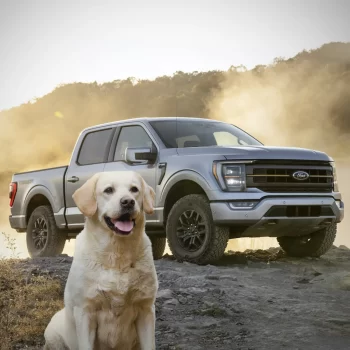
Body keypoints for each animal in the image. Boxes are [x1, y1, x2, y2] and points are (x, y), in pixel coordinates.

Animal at [43, 172, 158, 350]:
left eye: (134, 189)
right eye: (108, 190)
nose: (128, 202)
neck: (117, 255)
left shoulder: (146, 309)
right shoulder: (85, 312)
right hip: (53, 334)